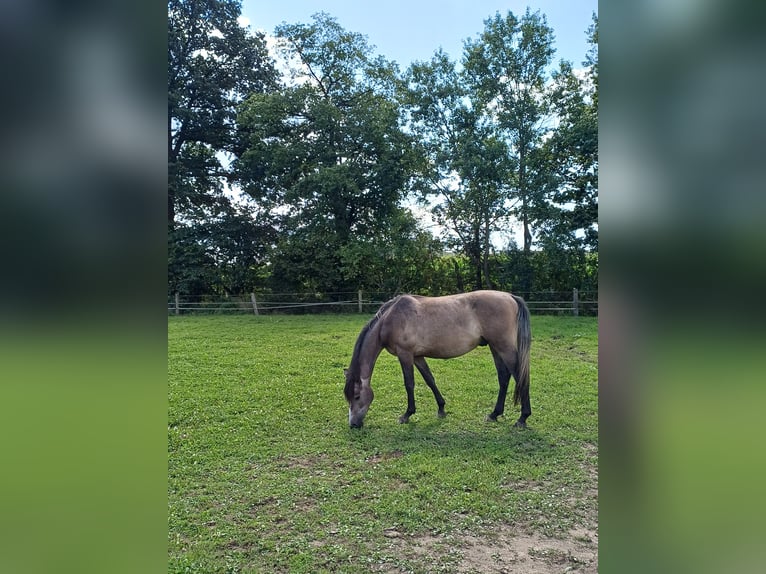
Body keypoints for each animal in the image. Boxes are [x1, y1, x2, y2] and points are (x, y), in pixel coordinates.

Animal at [344, 292, 532, 432]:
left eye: (357, 396)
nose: (353, 424)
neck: (391, 318)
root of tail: (510, 297)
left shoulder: (405, 354)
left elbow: (409, 384)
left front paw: (407, 415)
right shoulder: (417, 356)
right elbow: (430, 380)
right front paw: (441, 408)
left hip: (504, 347)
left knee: (520, 377)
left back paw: (522, 418)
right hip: (495, 347)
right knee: (503, 377)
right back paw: (494, 414)